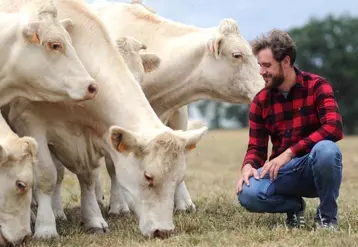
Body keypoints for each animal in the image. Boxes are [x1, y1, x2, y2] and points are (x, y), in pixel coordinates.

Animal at [4, 0, 207, 239]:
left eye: (178, 178)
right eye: (148, 177)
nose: (163, 231)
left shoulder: (91, 135)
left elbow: (88, 177)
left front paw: (93, 218)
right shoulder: (30, 123)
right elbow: (46, 176)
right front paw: (46, 227)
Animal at [89, 0, 266, 213]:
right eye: (237, 55)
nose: (263, 86)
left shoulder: (178, 114)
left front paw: (183, 202)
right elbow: (113, 165)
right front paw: (119, 205)